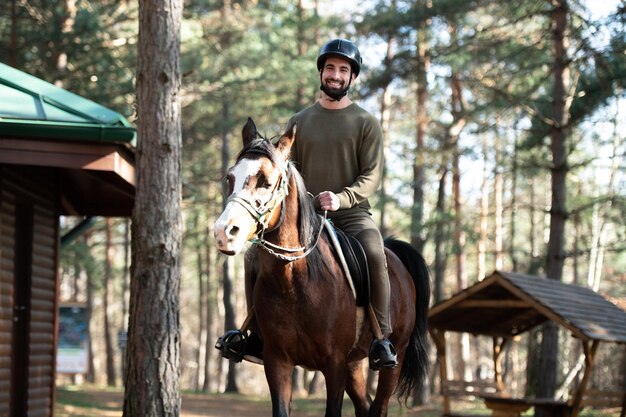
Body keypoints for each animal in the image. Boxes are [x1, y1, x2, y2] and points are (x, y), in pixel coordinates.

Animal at [212, 118, 426, 416]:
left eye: (267, 181)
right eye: (230, 178)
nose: (224, 232)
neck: (295, 284)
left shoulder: (334, 365)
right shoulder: (277, 361)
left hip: (394, 356)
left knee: (379, 405)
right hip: (353, 364)